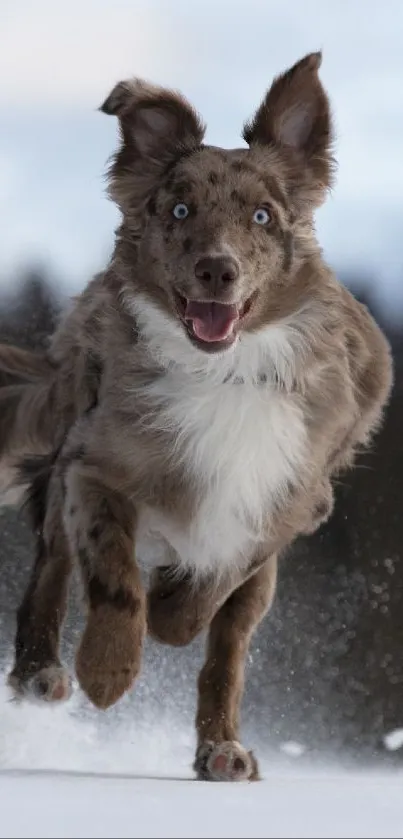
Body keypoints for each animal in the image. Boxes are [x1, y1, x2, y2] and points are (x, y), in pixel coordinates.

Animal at [0, 54, 392, 780]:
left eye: (263, 216)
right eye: (180, 208)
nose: (217, 269)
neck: (224, 370)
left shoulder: (287, 503)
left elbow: (214, 590)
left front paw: (172, 612)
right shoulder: (94, 469)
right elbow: (113, 577)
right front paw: (107, 670)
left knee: (226, 656)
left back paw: (223, 749)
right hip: (65, 459)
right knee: (51, 570)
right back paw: (41, 673)